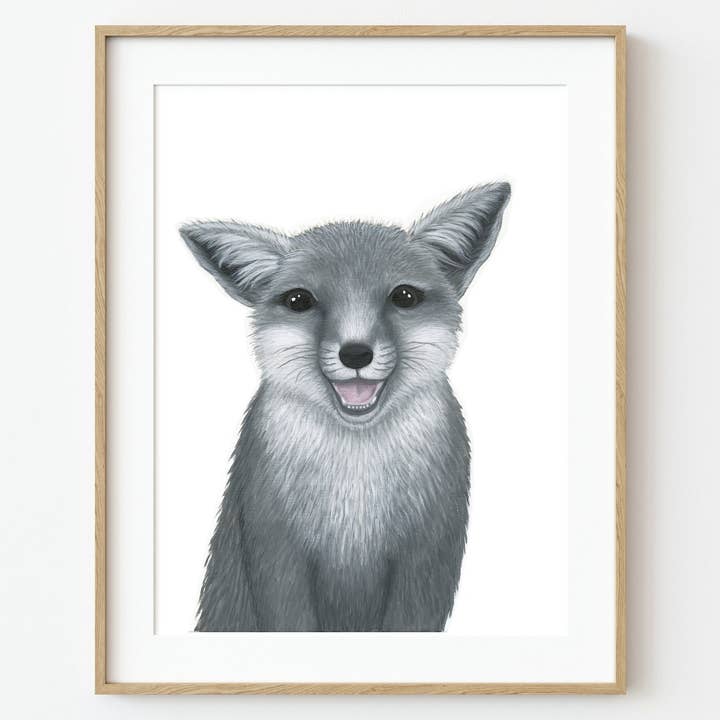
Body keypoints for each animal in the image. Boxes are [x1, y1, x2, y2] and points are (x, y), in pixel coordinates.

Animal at [180, 182, 510, 632]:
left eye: (404, 296)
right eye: (299, 300)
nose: (356, 354)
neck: (356, 492)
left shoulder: (429, 554)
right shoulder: (274, 547)